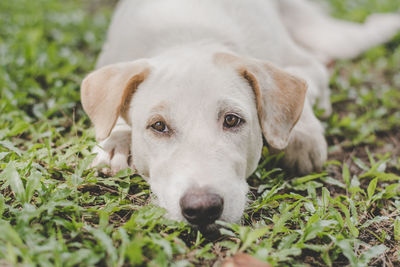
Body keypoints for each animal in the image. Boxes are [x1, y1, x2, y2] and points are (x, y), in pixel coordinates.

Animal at [80, 0, 400, 233]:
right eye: (158, 126)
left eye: (232, 120)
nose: (202, 209)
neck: (192, 35)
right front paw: (115, 141)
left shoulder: (301, 64)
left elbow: (305, 84)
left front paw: (302, 134)